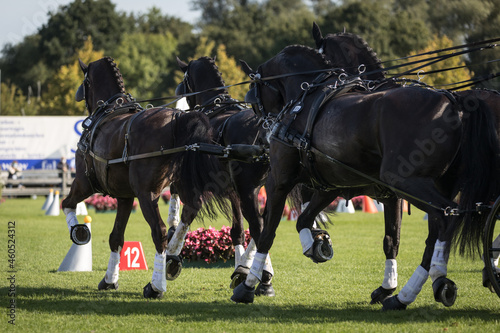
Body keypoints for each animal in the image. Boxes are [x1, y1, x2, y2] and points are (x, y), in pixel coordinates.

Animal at [61, 57, 229, 298]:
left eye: (85, 81)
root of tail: (177, 118)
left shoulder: (84, 184)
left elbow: (67, 204)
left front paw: (79, 231)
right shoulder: (124, 197)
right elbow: (116, 237)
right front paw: (110, 280)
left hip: (146, 194)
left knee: (160, 232)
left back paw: (156, 286)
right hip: (180, 185)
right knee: (189, 211)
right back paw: (172, 260)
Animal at [231, 43, 500, 308]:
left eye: (255, 97)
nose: (263, 133)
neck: (305, 99)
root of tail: (453, 101)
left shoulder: (279, 180)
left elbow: (267, 233)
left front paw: (248, 285)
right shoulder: (333, 185)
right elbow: (307, 220)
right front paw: (317, 244)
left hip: (405, 181)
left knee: (446, 217)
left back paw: (438, 280)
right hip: (440, 184)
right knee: (435, 231)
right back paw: (406, 295)